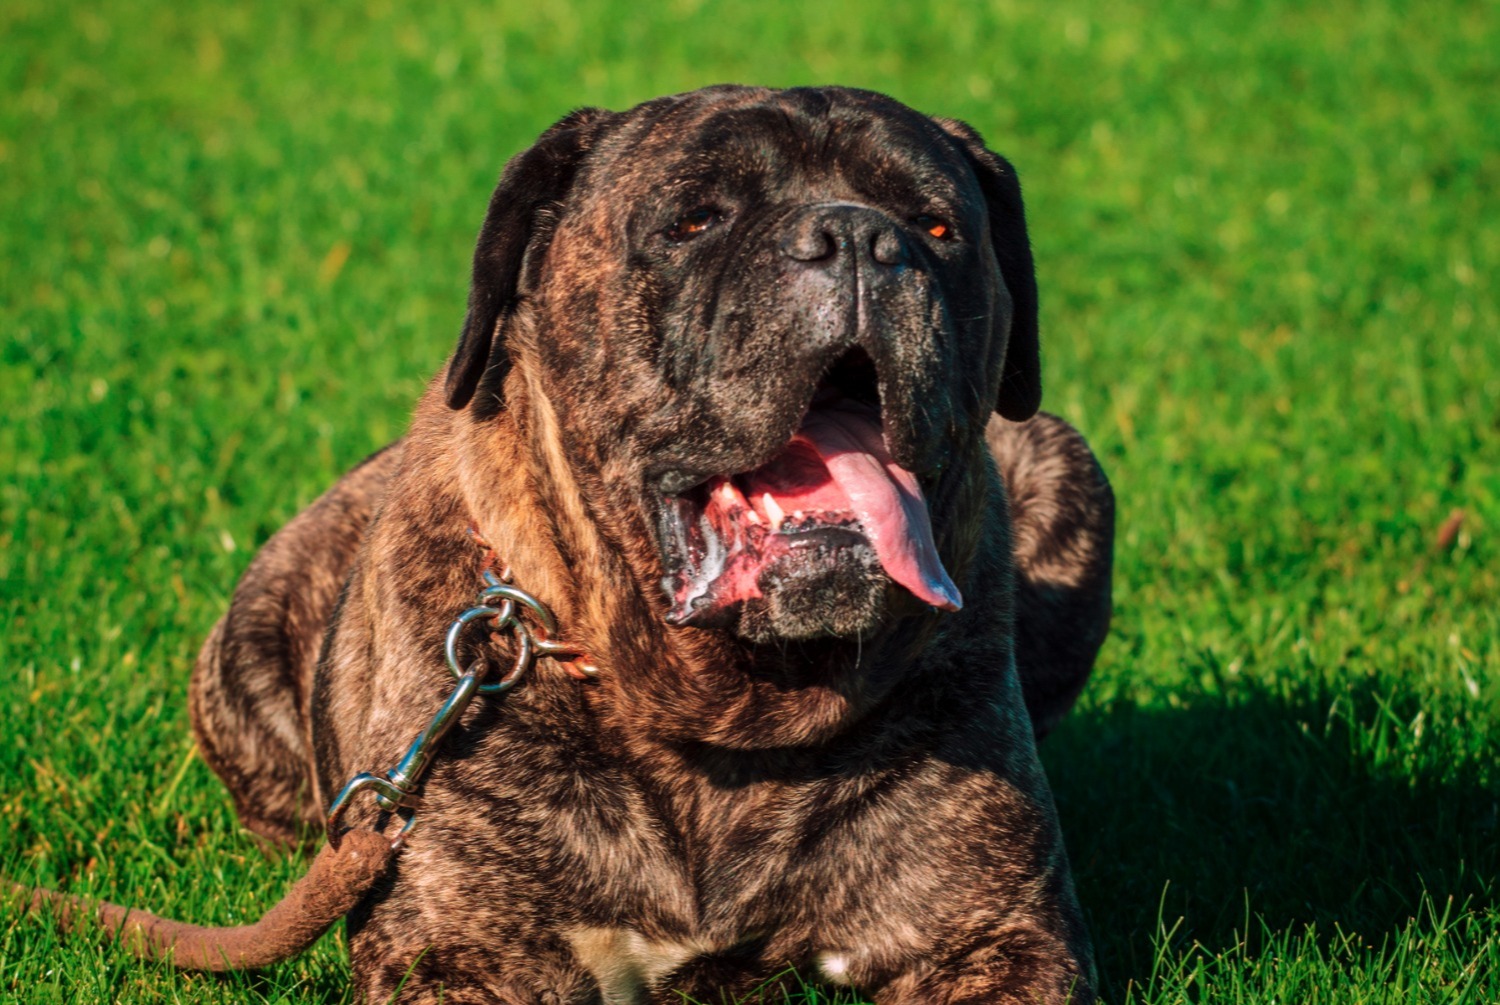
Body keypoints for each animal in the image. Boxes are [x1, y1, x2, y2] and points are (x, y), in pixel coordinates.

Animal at [184, 88, 1116, 1005]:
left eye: (936, 226)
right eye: (694, 221)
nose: (858, 236)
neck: (725, 713)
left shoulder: (998, 935)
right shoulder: (457, 952)